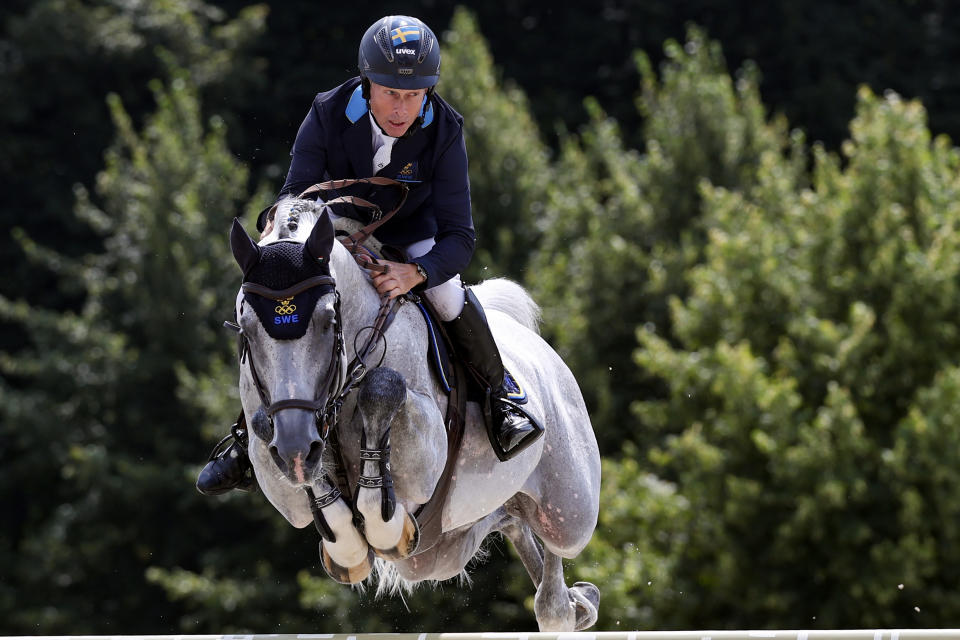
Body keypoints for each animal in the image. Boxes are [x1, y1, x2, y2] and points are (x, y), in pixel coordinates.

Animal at [227, 195, 600, 632]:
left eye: (329, 320)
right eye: (245, 329)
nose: (297, 449)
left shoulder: (423, 454)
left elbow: (384, 396)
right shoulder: (284, 475)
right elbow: (324, 504)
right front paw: (347, 547)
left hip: (570, 511)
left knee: (554, 567)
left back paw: (574, 604)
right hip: (448, 547)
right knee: (511, 520)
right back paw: (577, 600)